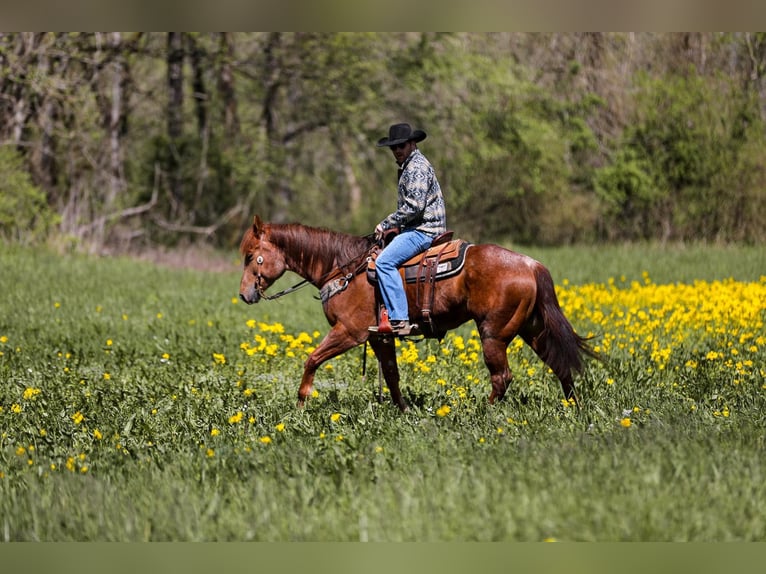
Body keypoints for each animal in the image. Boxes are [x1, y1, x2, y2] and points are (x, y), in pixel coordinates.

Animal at [240, 214, 600, 412]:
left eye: (250, 256)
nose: (244, 295)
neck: (342, 268)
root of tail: (531, 264)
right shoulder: (379, 339)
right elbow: (391, 375)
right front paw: (402, 410)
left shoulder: (349, 333)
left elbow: (311, 360)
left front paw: (300, 405)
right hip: (531, 327)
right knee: (559, 363)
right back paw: (573, 407)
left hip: (494, 334)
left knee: (502, 377)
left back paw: (483, 413)